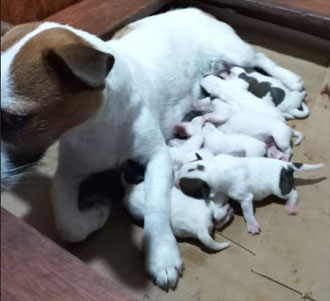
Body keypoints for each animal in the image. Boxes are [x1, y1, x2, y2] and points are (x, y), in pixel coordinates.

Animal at [0, 7, 304, 288]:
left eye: (15, 119)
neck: (94, 125)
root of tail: (193, 9)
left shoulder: (158, 158)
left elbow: (157, 209)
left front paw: (162, 258)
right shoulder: (67, 175)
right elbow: (68, 226)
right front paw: (96, 213)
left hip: (236, 53)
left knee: (260, 57)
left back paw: (291, 79)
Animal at [178, 155, 322, 234]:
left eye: (183, 185)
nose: (175, 182)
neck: (214, 168)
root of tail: (287, 166)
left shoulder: (244, 197)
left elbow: (247, 212)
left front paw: (252, 225)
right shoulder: (222, 191)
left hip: (280, 189)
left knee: (293, 193)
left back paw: (291, 205)